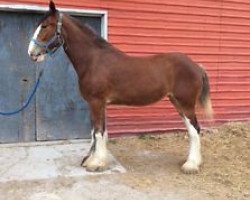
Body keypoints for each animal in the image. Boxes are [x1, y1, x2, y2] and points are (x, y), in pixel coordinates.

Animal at [27, 0, 213, 173]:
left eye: (45, 26)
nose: (31, 53)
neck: (94, 60)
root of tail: (197, 66)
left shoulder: (96, 102)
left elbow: (97, 132)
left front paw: (95, 163)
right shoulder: (98, 104)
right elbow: (98, 131)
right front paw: (94, 159)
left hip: (186, 103)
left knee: (195, 129)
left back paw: (191, 165)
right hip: (177, 102)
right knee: (192, 129)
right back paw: (192, 161)